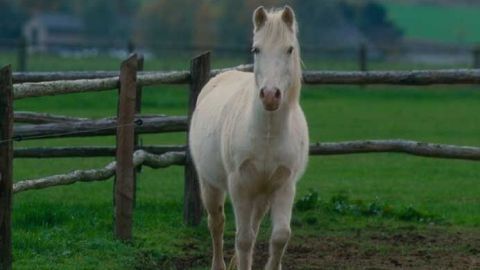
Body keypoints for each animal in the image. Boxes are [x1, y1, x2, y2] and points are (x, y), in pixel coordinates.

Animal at [189, 6, 310, 270]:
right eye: (256, 49)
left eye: (289, 49)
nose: (270, 95)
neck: (267, 134)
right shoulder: (240, 186)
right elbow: (243, 239)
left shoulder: (284, 186)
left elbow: (279, 237)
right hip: (210, 184)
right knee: (217, 223)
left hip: (262, 195)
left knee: (254, 226)